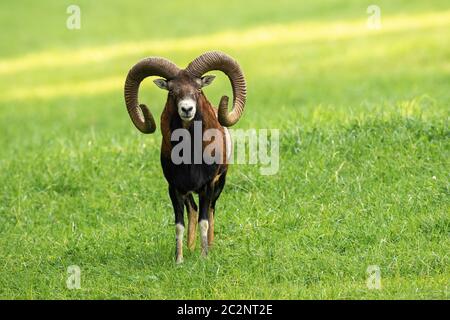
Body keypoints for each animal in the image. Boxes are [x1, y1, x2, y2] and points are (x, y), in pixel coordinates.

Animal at [123, 52, 246, 262]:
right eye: (172, 92)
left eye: (198, 89)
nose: (187, 109)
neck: (190, 156)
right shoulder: (175, 189)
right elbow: (179, 224)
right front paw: (179, 260)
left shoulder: (207, 186)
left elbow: (205, 221)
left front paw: (204, 257)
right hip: (188, 193)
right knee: (193, 210)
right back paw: (190, 247)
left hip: (219, 185)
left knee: (211, 211)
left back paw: (209, 246)